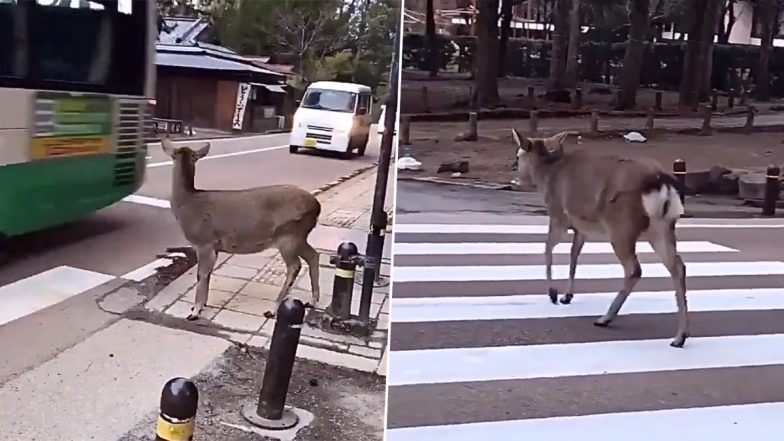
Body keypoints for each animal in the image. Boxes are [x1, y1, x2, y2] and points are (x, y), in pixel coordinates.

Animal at [161, 140, 320, 320]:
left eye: (174, 156)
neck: (186, 205)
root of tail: (317, 206)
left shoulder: (203, 241)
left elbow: (201, 274)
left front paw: (195, 311)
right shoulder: (214, 246)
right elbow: (208, 274)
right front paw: (202, 305)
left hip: (289, 234)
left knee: (295, 266)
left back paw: (273, 309)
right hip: (300, 236)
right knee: (313, 256)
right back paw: (312, 301)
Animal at [512, 131, 688, 348]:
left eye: (519, 154)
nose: (514, 170)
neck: (547, 175)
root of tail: (661, 183)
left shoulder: (558, 215)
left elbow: (547, 248)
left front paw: (553, 293)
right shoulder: (581, 227)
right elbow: (574, 256)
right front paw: (567, 296)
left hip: (621, 227)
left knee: (634, 269)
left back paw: (605, 318)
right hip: (662, 227)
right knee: (678, 266)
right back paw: (679, 337)